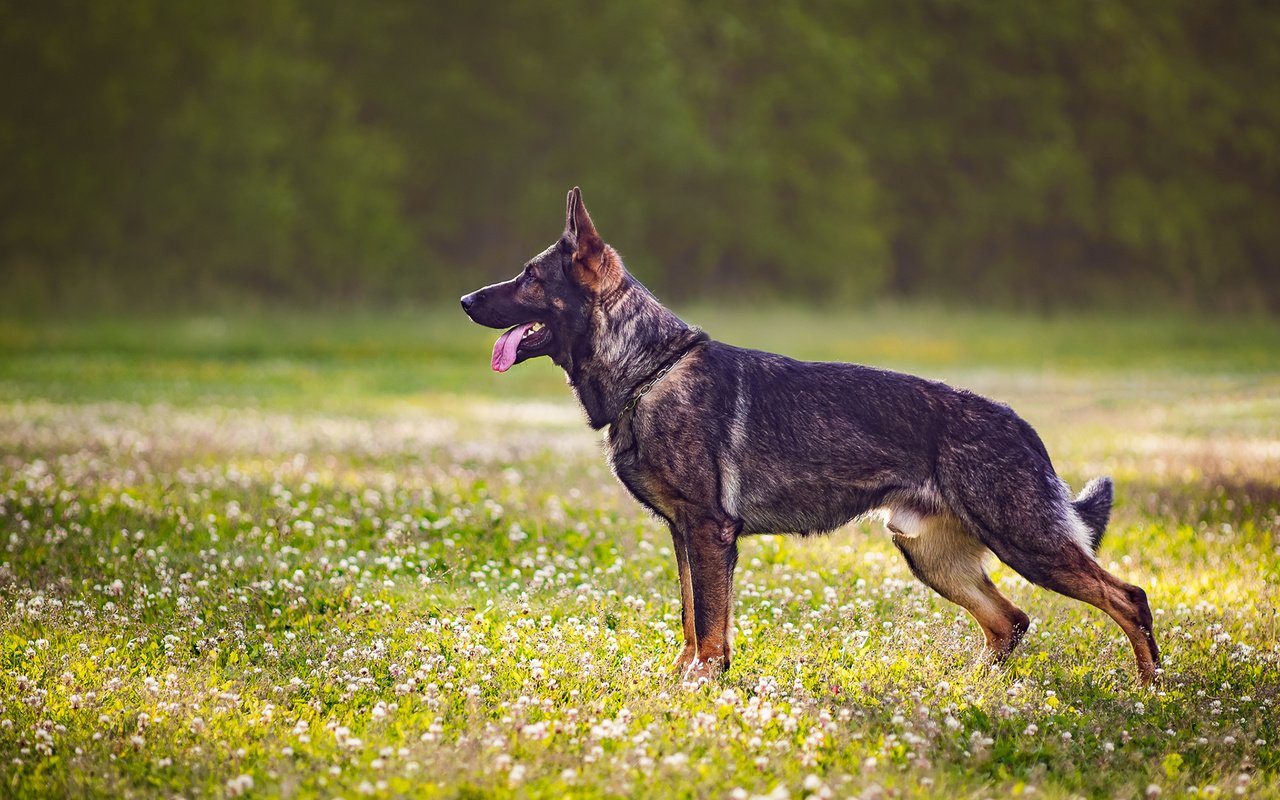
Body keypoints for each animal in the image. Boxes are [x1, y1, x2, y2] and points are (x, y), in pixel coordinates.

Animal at [460, 185, 1162, 680]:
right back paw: (969, 685)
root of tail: (1021, 425)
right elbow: (690, 618)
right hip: (932, 556)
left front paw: (702, 685)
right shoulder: (684, 534)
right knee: (1010, 621)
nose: (465, 300)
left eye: (530, 278)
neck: (649, 369)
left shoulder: (709, 532)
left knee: (1128, 597)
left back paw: (1150, 689)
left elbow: (709, 626)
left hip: (1025, 543)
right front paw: (683, 678)